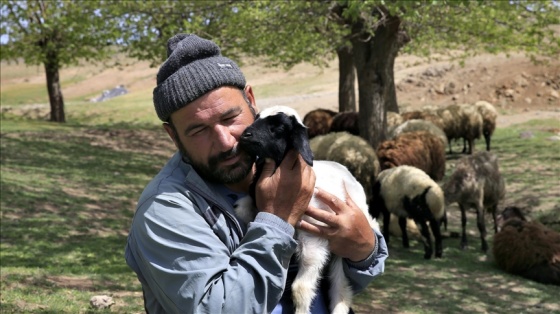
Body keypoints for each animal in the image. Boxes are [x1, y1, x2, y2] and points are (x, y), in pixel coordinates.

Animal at [232, 105, 380, 314]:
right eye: (256, 117)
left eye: (279, 127)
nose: (245, 135)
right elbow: (242, 208)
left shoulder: (314, 240)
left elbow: (300, 288)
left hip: (345, 242)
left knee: (340, 287)